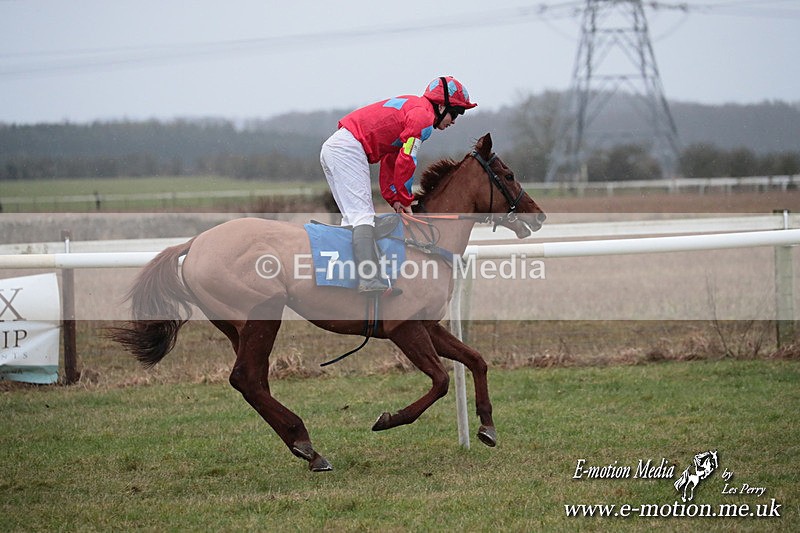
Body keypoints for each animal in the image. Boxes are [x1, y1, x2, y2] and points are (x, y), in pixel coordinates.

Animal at [112, 133, 546, 471]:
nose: (539, 215)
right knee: (246, 378)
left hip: (239, 325)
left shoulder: (427, 324)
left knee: (254, 382)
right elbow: (440, 381)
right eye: (509, 175)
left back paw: (305, 447)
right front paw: (388, 419)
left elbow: (476, 360)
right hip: (263, 312)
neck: (425, 242)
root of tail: (196, 242)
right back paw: (306, 444)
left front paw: (487, 427)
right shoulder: (403, 328)